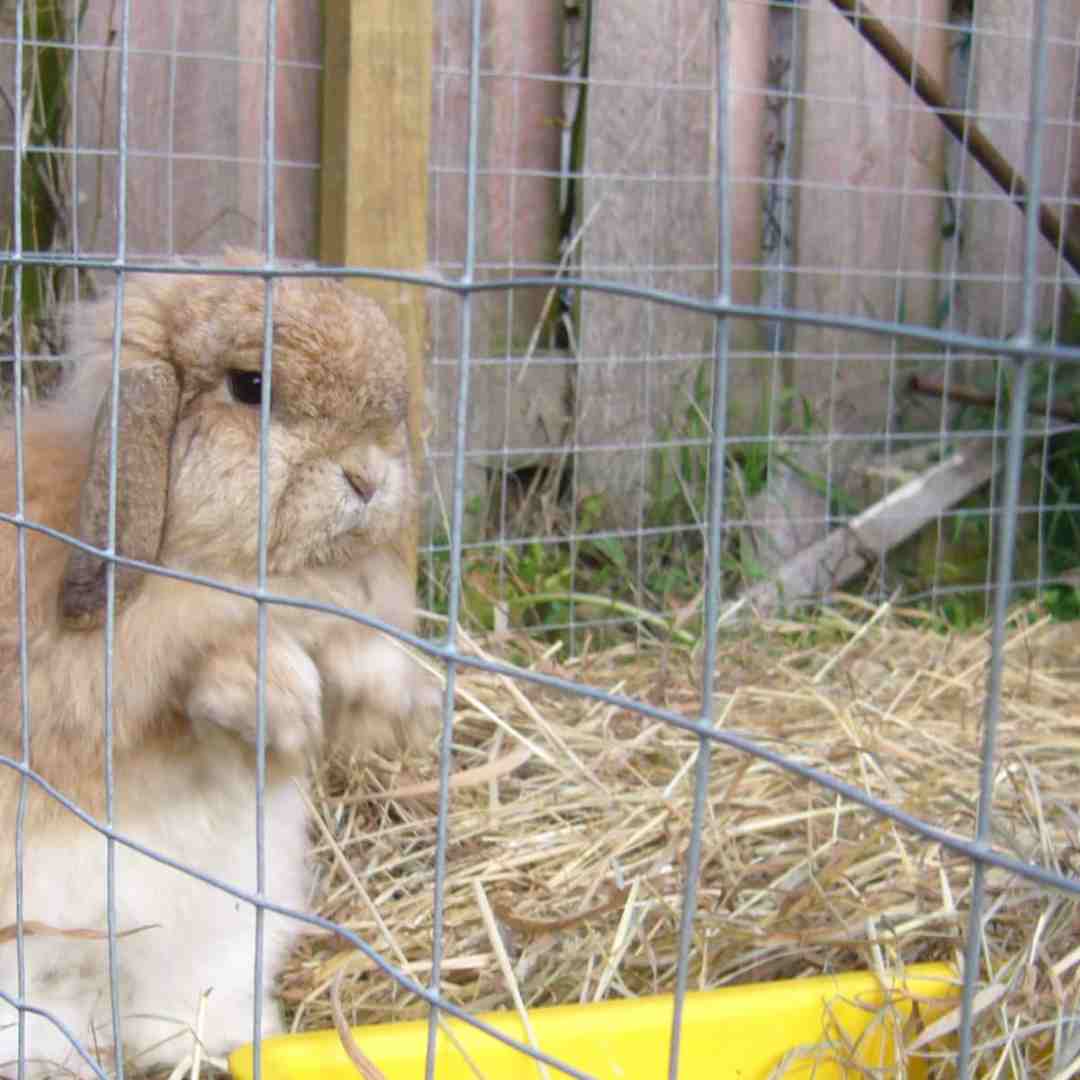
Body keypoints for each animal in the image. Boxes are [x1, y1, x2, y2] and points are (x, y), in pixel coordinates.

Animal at [0, 250, 442, 1071]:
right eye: (252, 386)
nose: (369, 480)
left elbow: (353, 661)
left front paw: (399, 706)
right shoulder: (86, 679)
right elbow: (177, 675)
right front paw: (275, 695)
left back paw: (217, 1040)